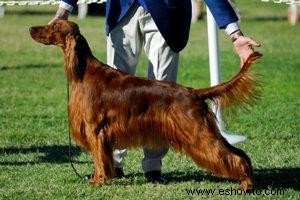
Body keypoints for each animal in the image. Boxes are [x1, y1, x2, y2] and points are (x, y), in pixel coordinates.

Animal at [29, 19, 262, 190]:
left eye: (54, 26)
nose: (31, 28)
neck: (84, 71)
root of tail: (194, 92)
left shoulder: (95, 130)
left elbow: (98, 159)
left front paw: (98, 181)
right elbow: (103, 159)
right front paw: (103, 178)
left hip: (199, 133)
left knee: (232, 156)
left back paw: (246, 183)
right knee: (239, 153)